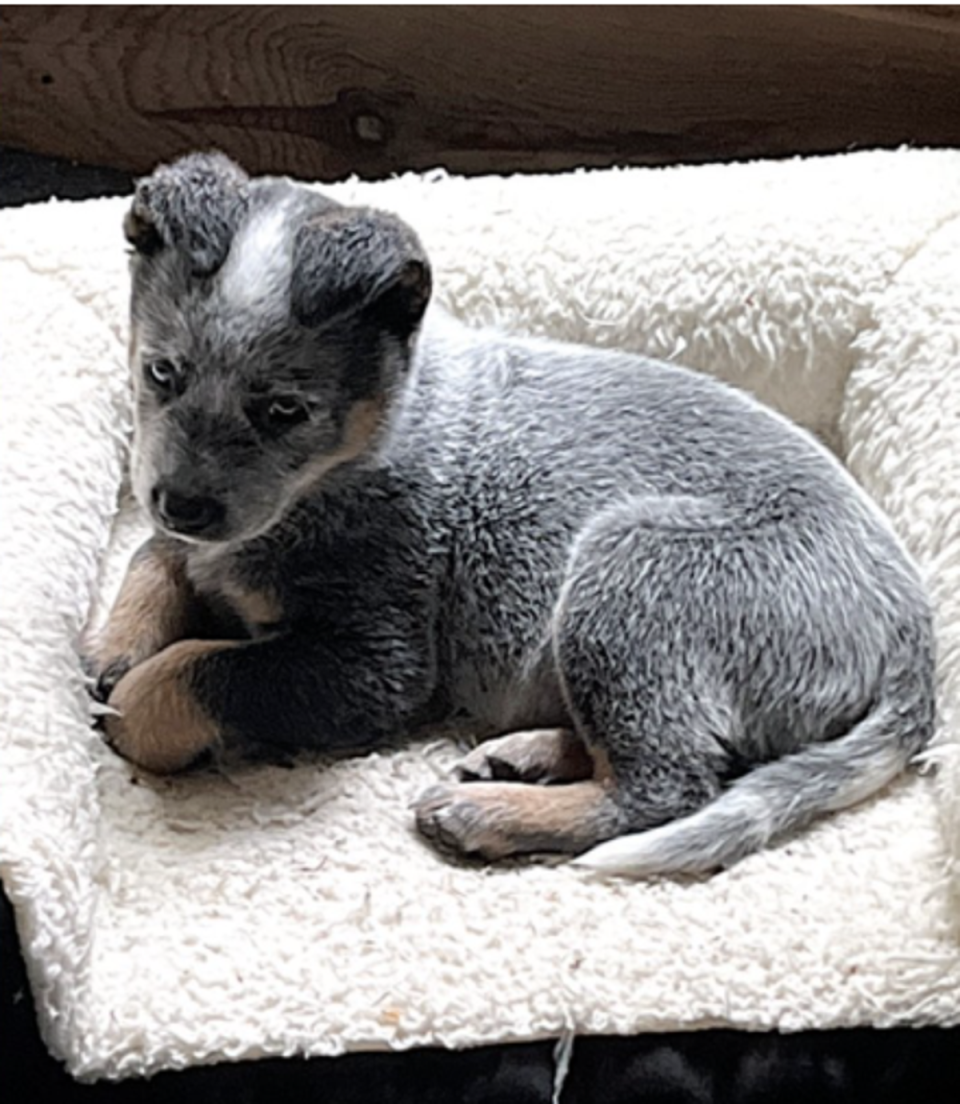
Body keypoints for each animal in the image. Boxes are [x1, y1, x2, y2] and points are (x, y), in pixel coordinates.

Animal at [84, 155, 940, 874]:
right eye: (161, 372)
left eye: (285, 411)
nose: (184, 502)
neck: (363, 452)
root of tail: (915, 638)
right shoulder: (190, 528)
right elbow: (154, 557)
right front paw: (116, 643)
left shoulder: (376, 663)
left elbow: (190, 673)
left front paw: (137, 697)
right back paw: (521, 755)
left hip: (631, 575)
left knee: (670, 783)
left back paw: (487, 812)